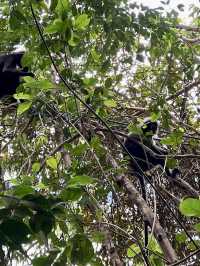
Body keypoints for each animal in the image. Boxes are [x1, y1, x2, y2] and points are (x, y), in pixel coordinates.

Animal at [124, 118, 179, 249]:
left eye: (154, 127)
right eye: (151, 127)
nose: (153, 131)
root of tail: (135, 168)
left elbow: (154, 147)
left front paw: (164, 150)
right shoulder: (139, 134)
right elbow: (135, 141)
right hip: (141, 160)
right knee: (150, 155)